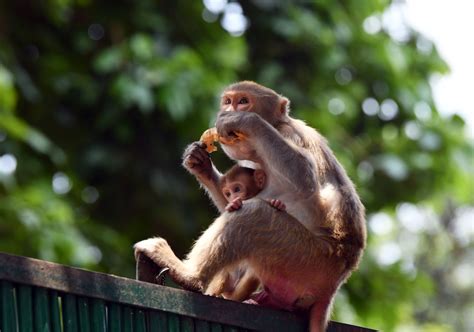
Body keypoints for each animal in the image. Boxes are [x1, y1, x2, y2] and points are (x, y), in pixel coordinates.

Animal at [134, 81, 366, 332]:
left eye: (243, 101)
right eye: (227, 101)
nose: (227, 110)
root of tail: (334, 284)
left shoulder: (289, 135)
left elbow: (305, 177)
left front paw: (242, 120)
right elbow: (231, 203)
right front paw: (200, 163)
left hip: (307, 260)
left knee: (255, 214)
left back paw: (190, 276)